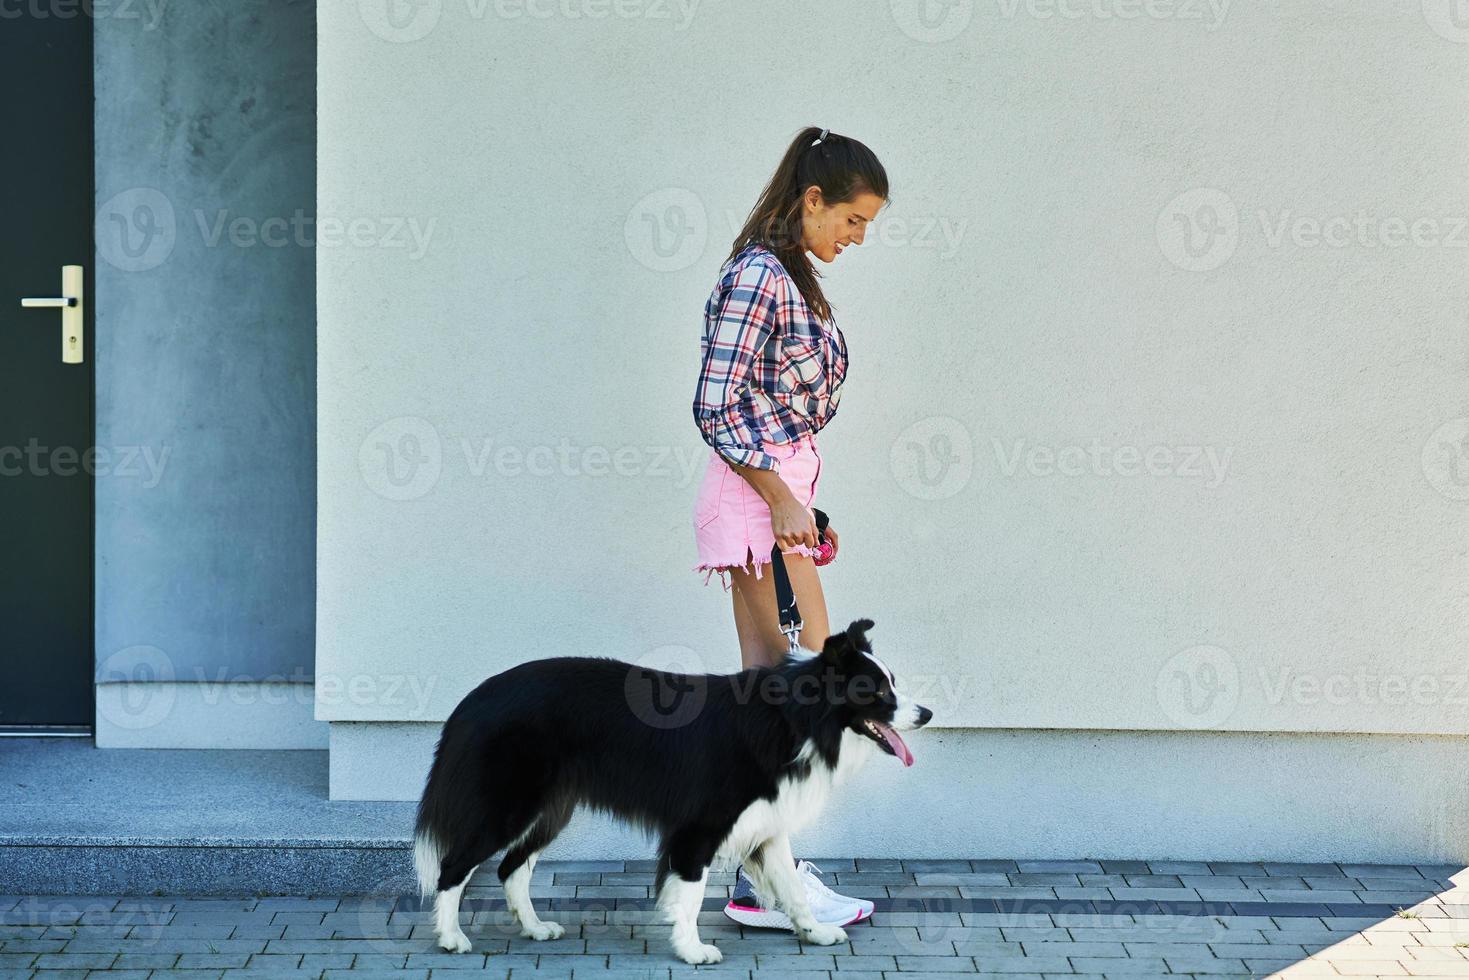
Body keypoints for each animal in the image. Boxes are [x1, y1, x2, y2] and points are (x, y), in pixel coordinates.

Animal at [414, 620, 928, 963]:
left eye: (893, 683)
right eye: (876, 691)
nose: (926, 714)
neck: (795, 718)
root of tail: (473, 700)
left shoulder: (766, 823)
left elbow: (791, 887)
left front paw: (815, 932)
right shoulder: (699, 827)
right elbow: (693, 893)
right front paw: (692, 950)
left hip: (549, 810)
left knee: (510, 867)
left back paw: (536, 927)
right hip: (508, 806)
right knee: (454, 867)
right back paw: (451, 937)